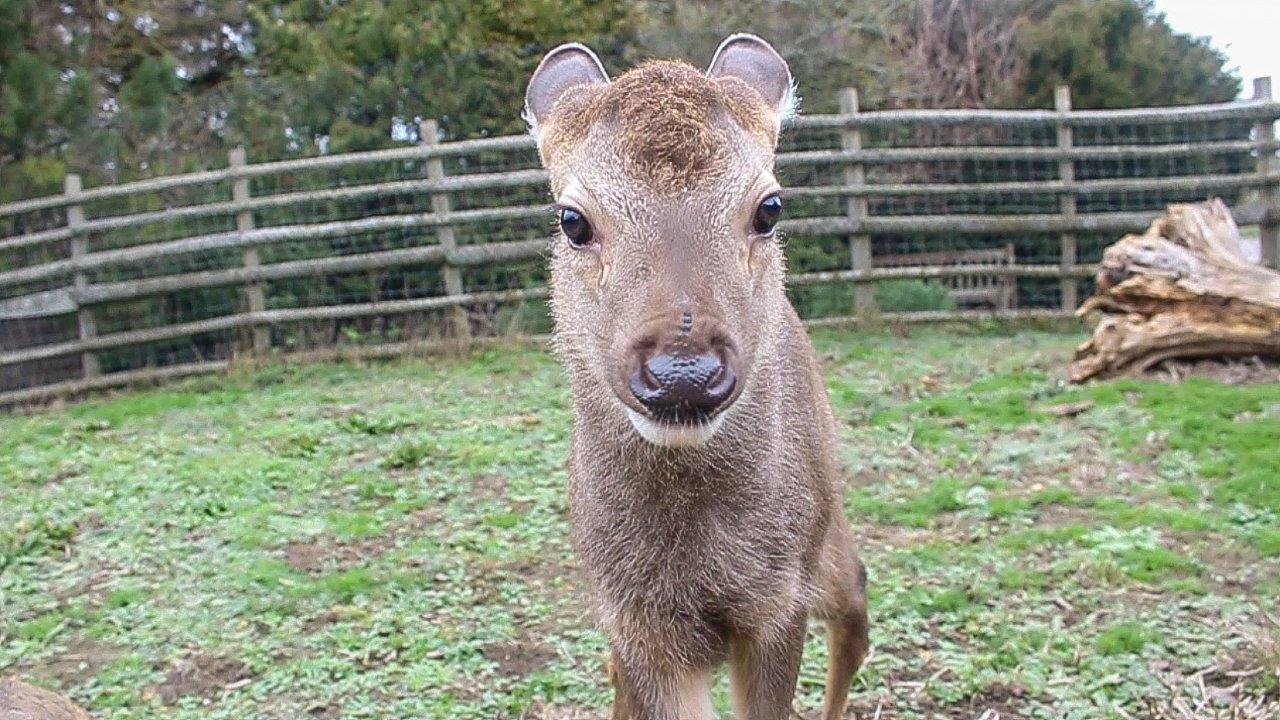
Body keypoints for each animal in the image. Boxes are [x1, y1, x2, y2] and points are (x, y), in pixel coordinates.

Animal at [522, 33, 870, 717]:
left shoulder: (779, 598)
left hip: (822, 530)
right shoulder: (632, 619)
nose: (682, 374)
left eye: (769, 208)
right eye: (573, 219)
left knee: (857, 595)